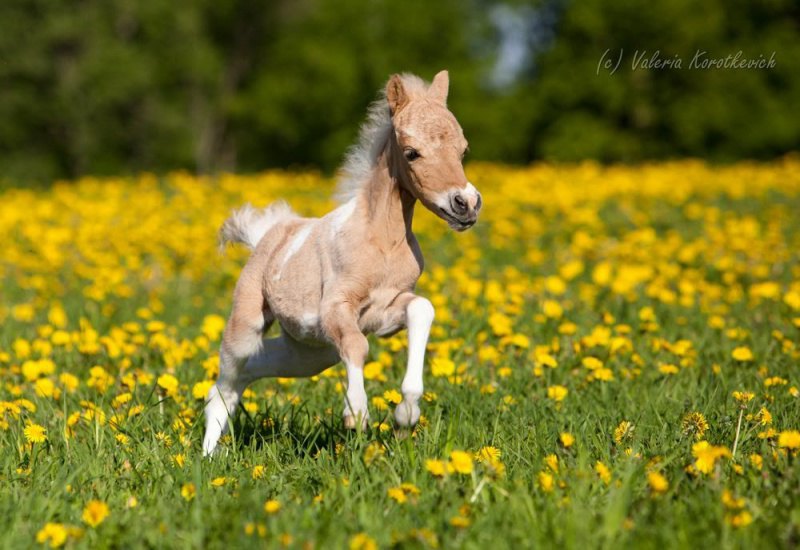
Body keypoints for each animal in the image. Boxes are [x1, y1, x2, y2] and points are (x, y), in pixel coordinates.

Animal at [203, 70, 484, 458]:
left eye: (463, 150)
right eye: (412, 153)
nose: (466, 204)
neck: (383, 241)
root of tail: (265, 236)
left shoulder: (386, 311)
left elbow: (422, 310)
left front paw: (405, 416)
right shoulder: (336, 308)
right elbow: (357, 346)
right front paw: (356, 413)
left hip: (310, 353)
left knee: (252, 369)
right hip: (248, 325)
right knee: (226, 380)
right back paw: (204, 458)